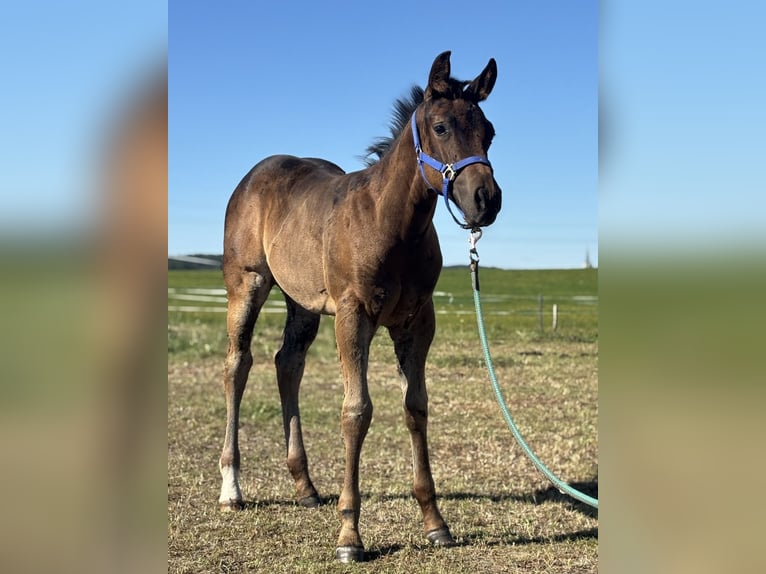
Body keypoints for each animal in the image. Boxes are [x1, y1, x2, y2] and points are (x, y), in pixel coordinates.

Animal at [217, 51, 502, 563]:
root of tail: (253, 176)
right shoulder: (354, 316)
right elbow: (357, 412)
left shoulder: (416, 322)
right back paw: (231, 488)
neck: (393, 225)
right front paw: (349, 534)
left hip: (302, 302)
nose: (486, 200)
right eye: (441, 126)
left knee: (287, 363)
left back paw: (305, 487)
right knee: (238, 364)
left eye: (488, 131)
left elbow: (416, 407)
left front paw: (435, 522)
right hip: (246, 284)